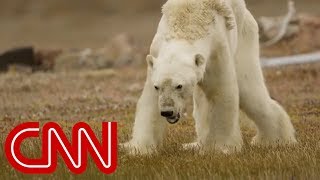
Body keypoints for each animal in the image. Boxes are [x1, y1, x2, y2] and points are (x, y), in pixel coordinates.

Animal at [122, 0, 296, 155]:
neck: (187, 23)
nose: (167, 112)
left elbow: (221, 93)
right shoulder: (157, 54)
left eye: (179, 86)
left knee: (250, 92)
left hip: (245, 38)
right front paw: (139, 149)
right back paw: (195, 145)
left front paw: (220, 148)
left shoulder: (216, 50)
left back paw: (275, 140)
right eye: (157, 86)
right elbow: (150, 102)